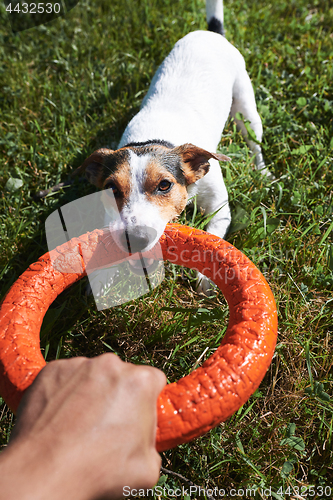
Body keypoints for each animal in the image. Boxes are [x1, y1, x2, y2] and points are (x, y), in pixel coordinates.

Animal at [78, 0, 270, 294]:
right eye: (111, 188)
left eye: (164, 185)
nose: (135, 239)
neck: (154, 138)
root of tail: (209, 32)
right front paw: (101, 276)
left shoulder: (220, 210)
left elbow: (214, 236)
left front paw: (206, 277)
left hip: (246, 107)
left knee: (254, 141)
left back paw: (262, 171)